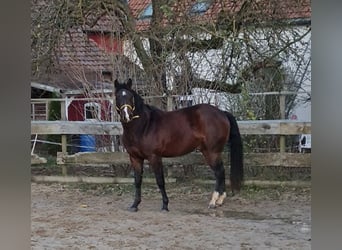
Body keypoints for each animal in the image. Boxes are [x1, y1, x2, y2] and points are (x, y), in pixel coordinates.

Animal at [115, 78, 243, 211]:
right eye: (117, 96)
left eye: (130, 96)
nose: (126, 115)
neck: (144, 126)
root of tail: (221, 112)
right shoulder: (135, 158)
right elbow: (137, 181)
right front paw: (135, 205)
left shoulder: (154, 157)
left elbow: (160, 181)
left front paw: (165, 205)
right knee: (221, 172)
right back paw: (219, 201)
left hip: (212, 152)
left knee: (219, 172)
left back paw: (213, 202)